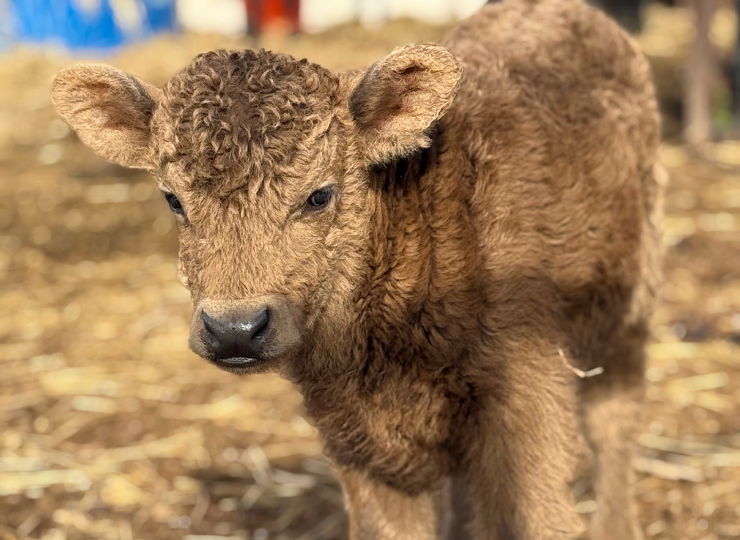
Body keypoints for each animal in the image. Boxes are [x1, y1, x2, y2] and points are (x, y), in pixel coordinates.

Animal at [50, 0, 663, 538]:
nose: (234, 329)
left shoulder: (527, 399)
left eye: (320, 195)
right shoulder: (357, 440)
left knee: (615, 426)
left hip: (628, 316)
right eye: (173, 200)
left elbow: (536, 519)